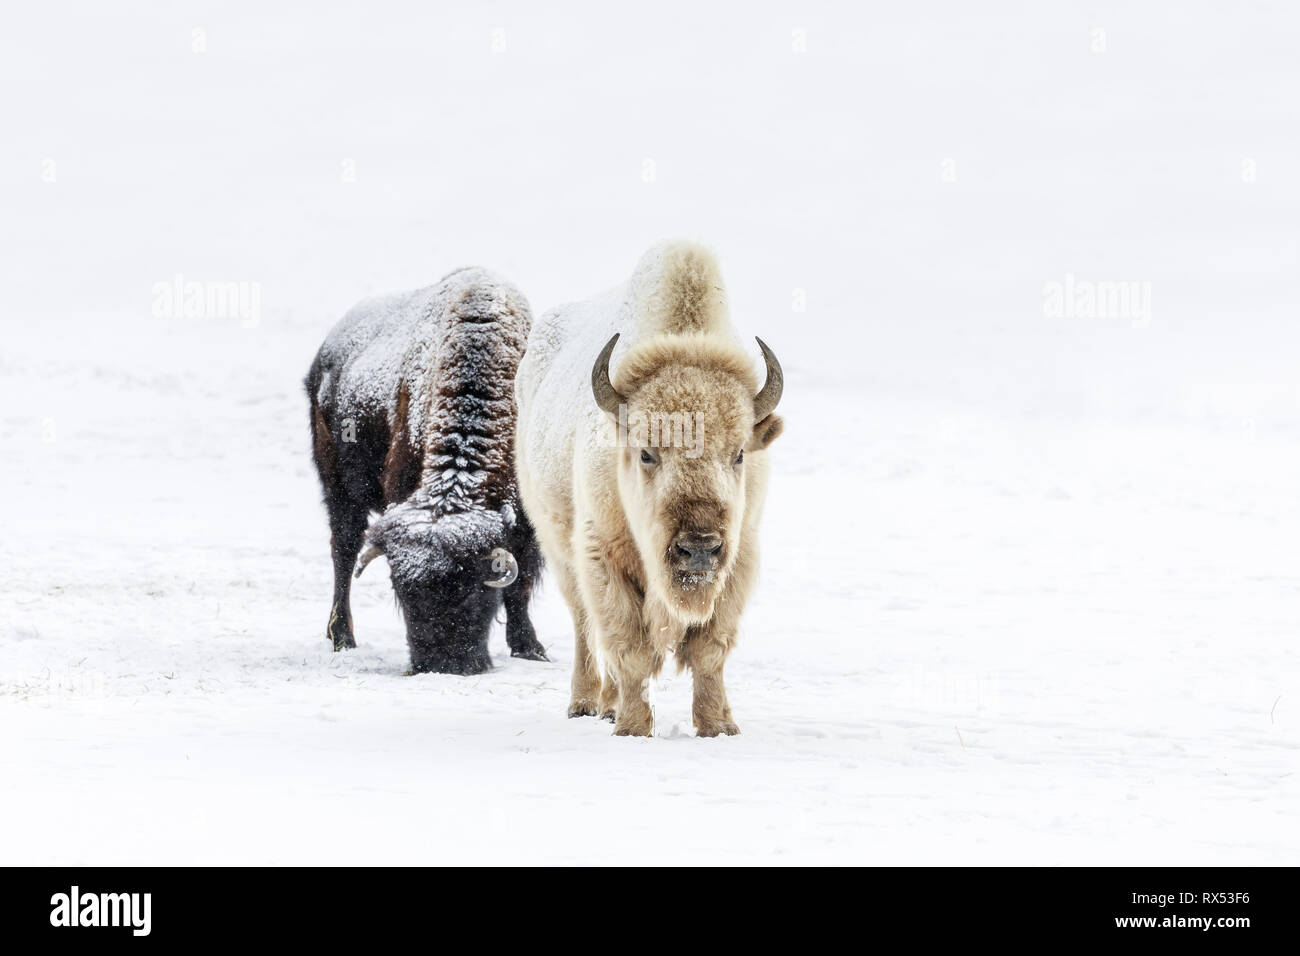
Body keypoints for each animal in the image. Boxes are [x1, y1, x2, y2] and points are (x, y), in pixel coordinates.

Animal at [514, 243, 780, 738]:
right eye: (646, 453)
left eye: (738, 454)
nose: (698, 548)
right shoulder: (601, 554)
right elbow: (630, 648)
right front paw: (633, 727)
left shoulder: (739, 557)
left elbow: (709, 650)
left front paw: (718, 726)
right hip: (559, 549)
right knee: (584, 626)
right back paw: (588, 703)